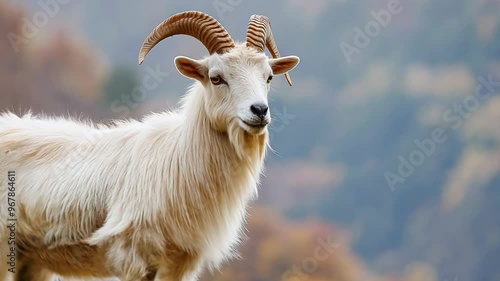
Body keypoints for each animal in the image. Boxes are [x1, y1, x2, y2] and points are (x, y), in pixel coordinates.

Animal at [0, 11, 298, 280]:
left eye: (269, 77)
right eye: (216, 78)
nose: (259, 111)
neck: (177, 157)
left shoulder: (179, 263)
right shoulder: (133, 259)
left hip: (32, 261)